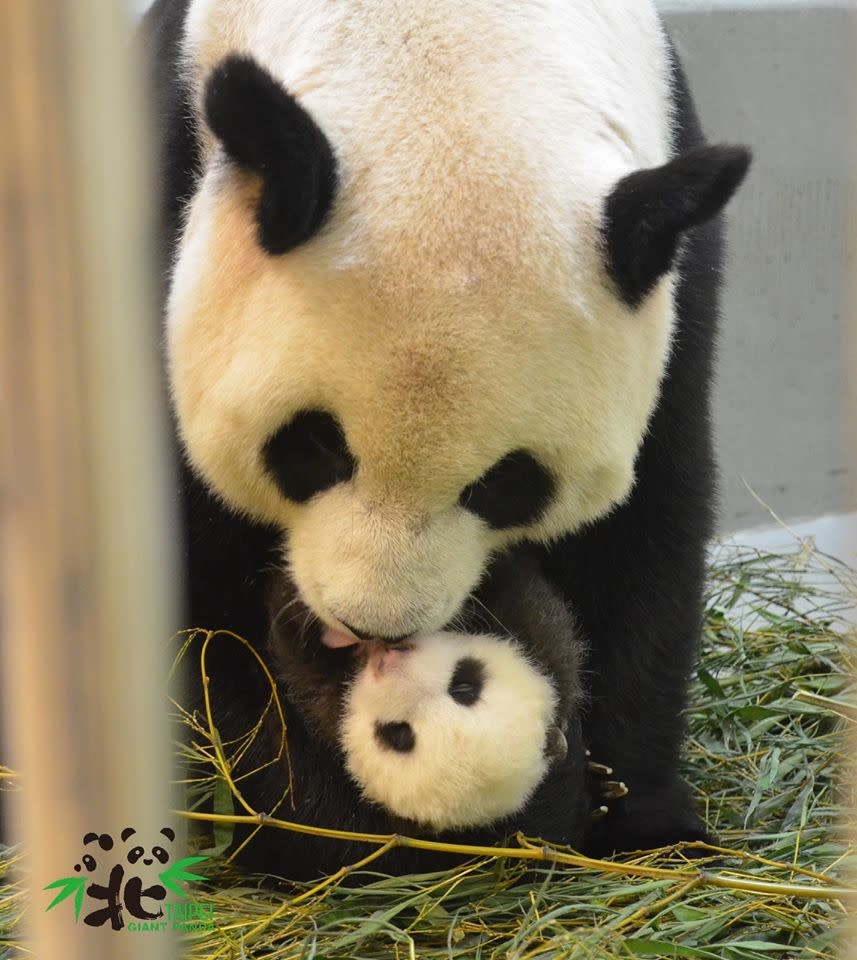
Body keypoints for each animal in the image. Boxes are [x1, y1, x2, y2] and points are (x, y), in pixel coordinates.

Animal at [145, 0, 748, 872]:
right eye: (312, 447)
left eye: (506, 483)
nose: (374, 625)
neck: (446, 47)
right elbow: (192, 580)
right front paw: (311, 816)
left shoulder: (672, 260)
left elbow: (646, 528)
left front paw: (642, 818)